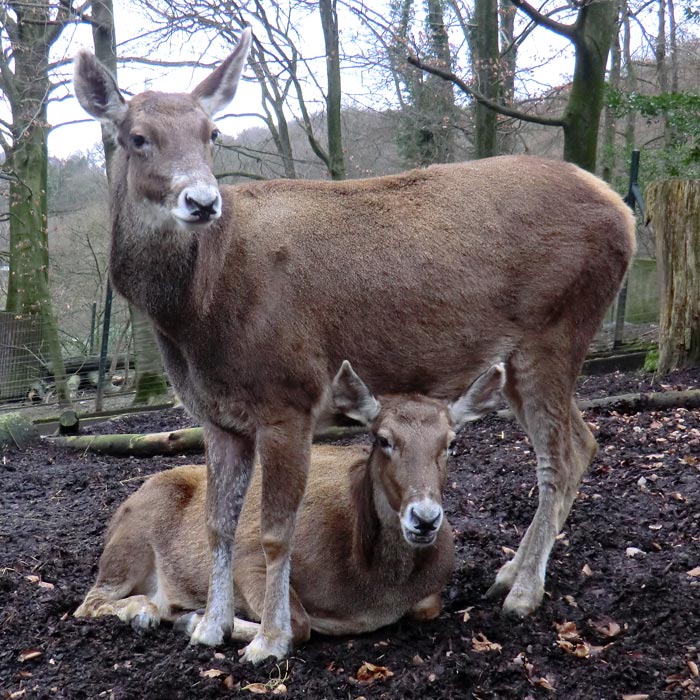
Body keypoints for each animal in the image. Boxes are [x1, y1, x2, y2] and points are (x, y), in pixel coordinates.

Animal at [75, 364, 504, 644]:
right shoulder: (249, 557)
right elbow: (298, 625)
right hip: (130, 541)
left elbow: (429, 608)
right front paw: (200, 624)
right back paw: (145, 613)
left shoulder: (431, 593)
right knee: (89, 601)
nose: (425, 518)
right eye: (384, 439)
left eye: (451, 442)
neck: (375, 591)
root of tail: (115, 517)